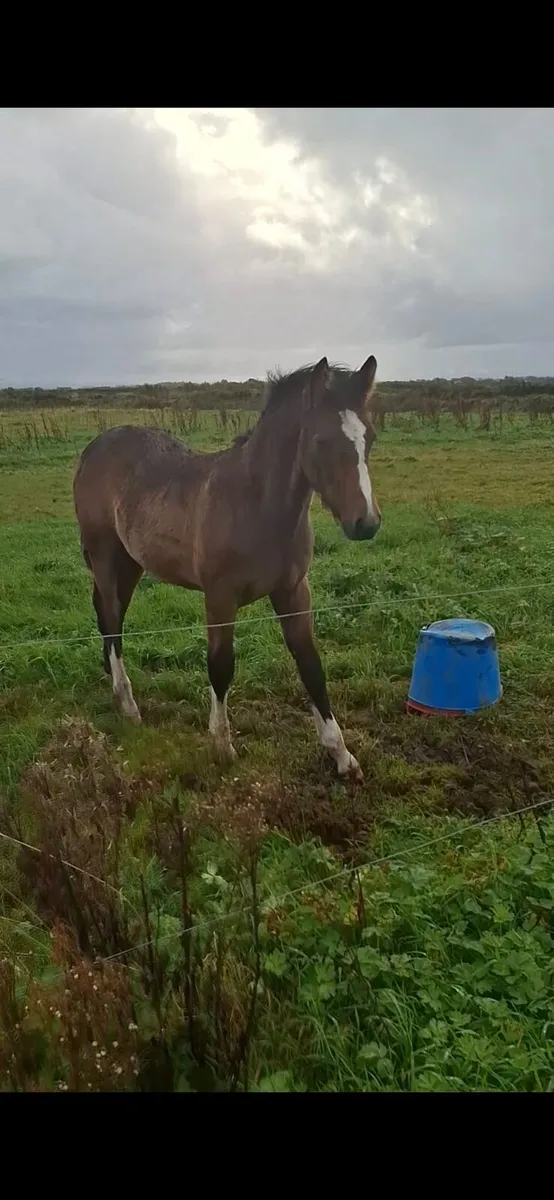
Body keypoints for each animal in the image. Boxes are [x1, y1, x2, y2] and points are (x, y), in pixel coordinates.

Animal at [73, 354, 381, 780]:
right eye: (321, 441)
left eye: (370, 437)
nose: (366, 523)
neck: (256, 506)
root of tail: (94, 447)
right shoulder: (219, 596)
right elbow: (220, 665)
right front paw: (221, 745)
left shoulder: (293, 590)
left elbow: (311, 665)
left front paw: (342, 755)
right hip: (104, 555)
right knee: (113, 618)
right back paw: (128, 705)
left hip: (131, 562)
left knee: (108, 615)